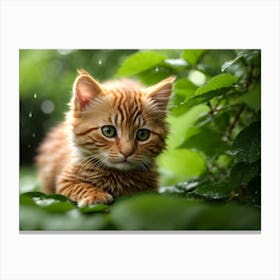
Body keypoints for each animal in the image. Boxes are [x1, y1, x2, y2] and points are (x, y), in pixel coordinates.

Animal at [35, 69, 175, 206]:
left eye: (142, 135)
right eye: (108, 131)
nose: (127, 152)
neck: (117, 176)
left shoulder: (152, 188)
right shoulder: (65, 181)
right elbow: (80, 187)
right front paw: (96, 195)